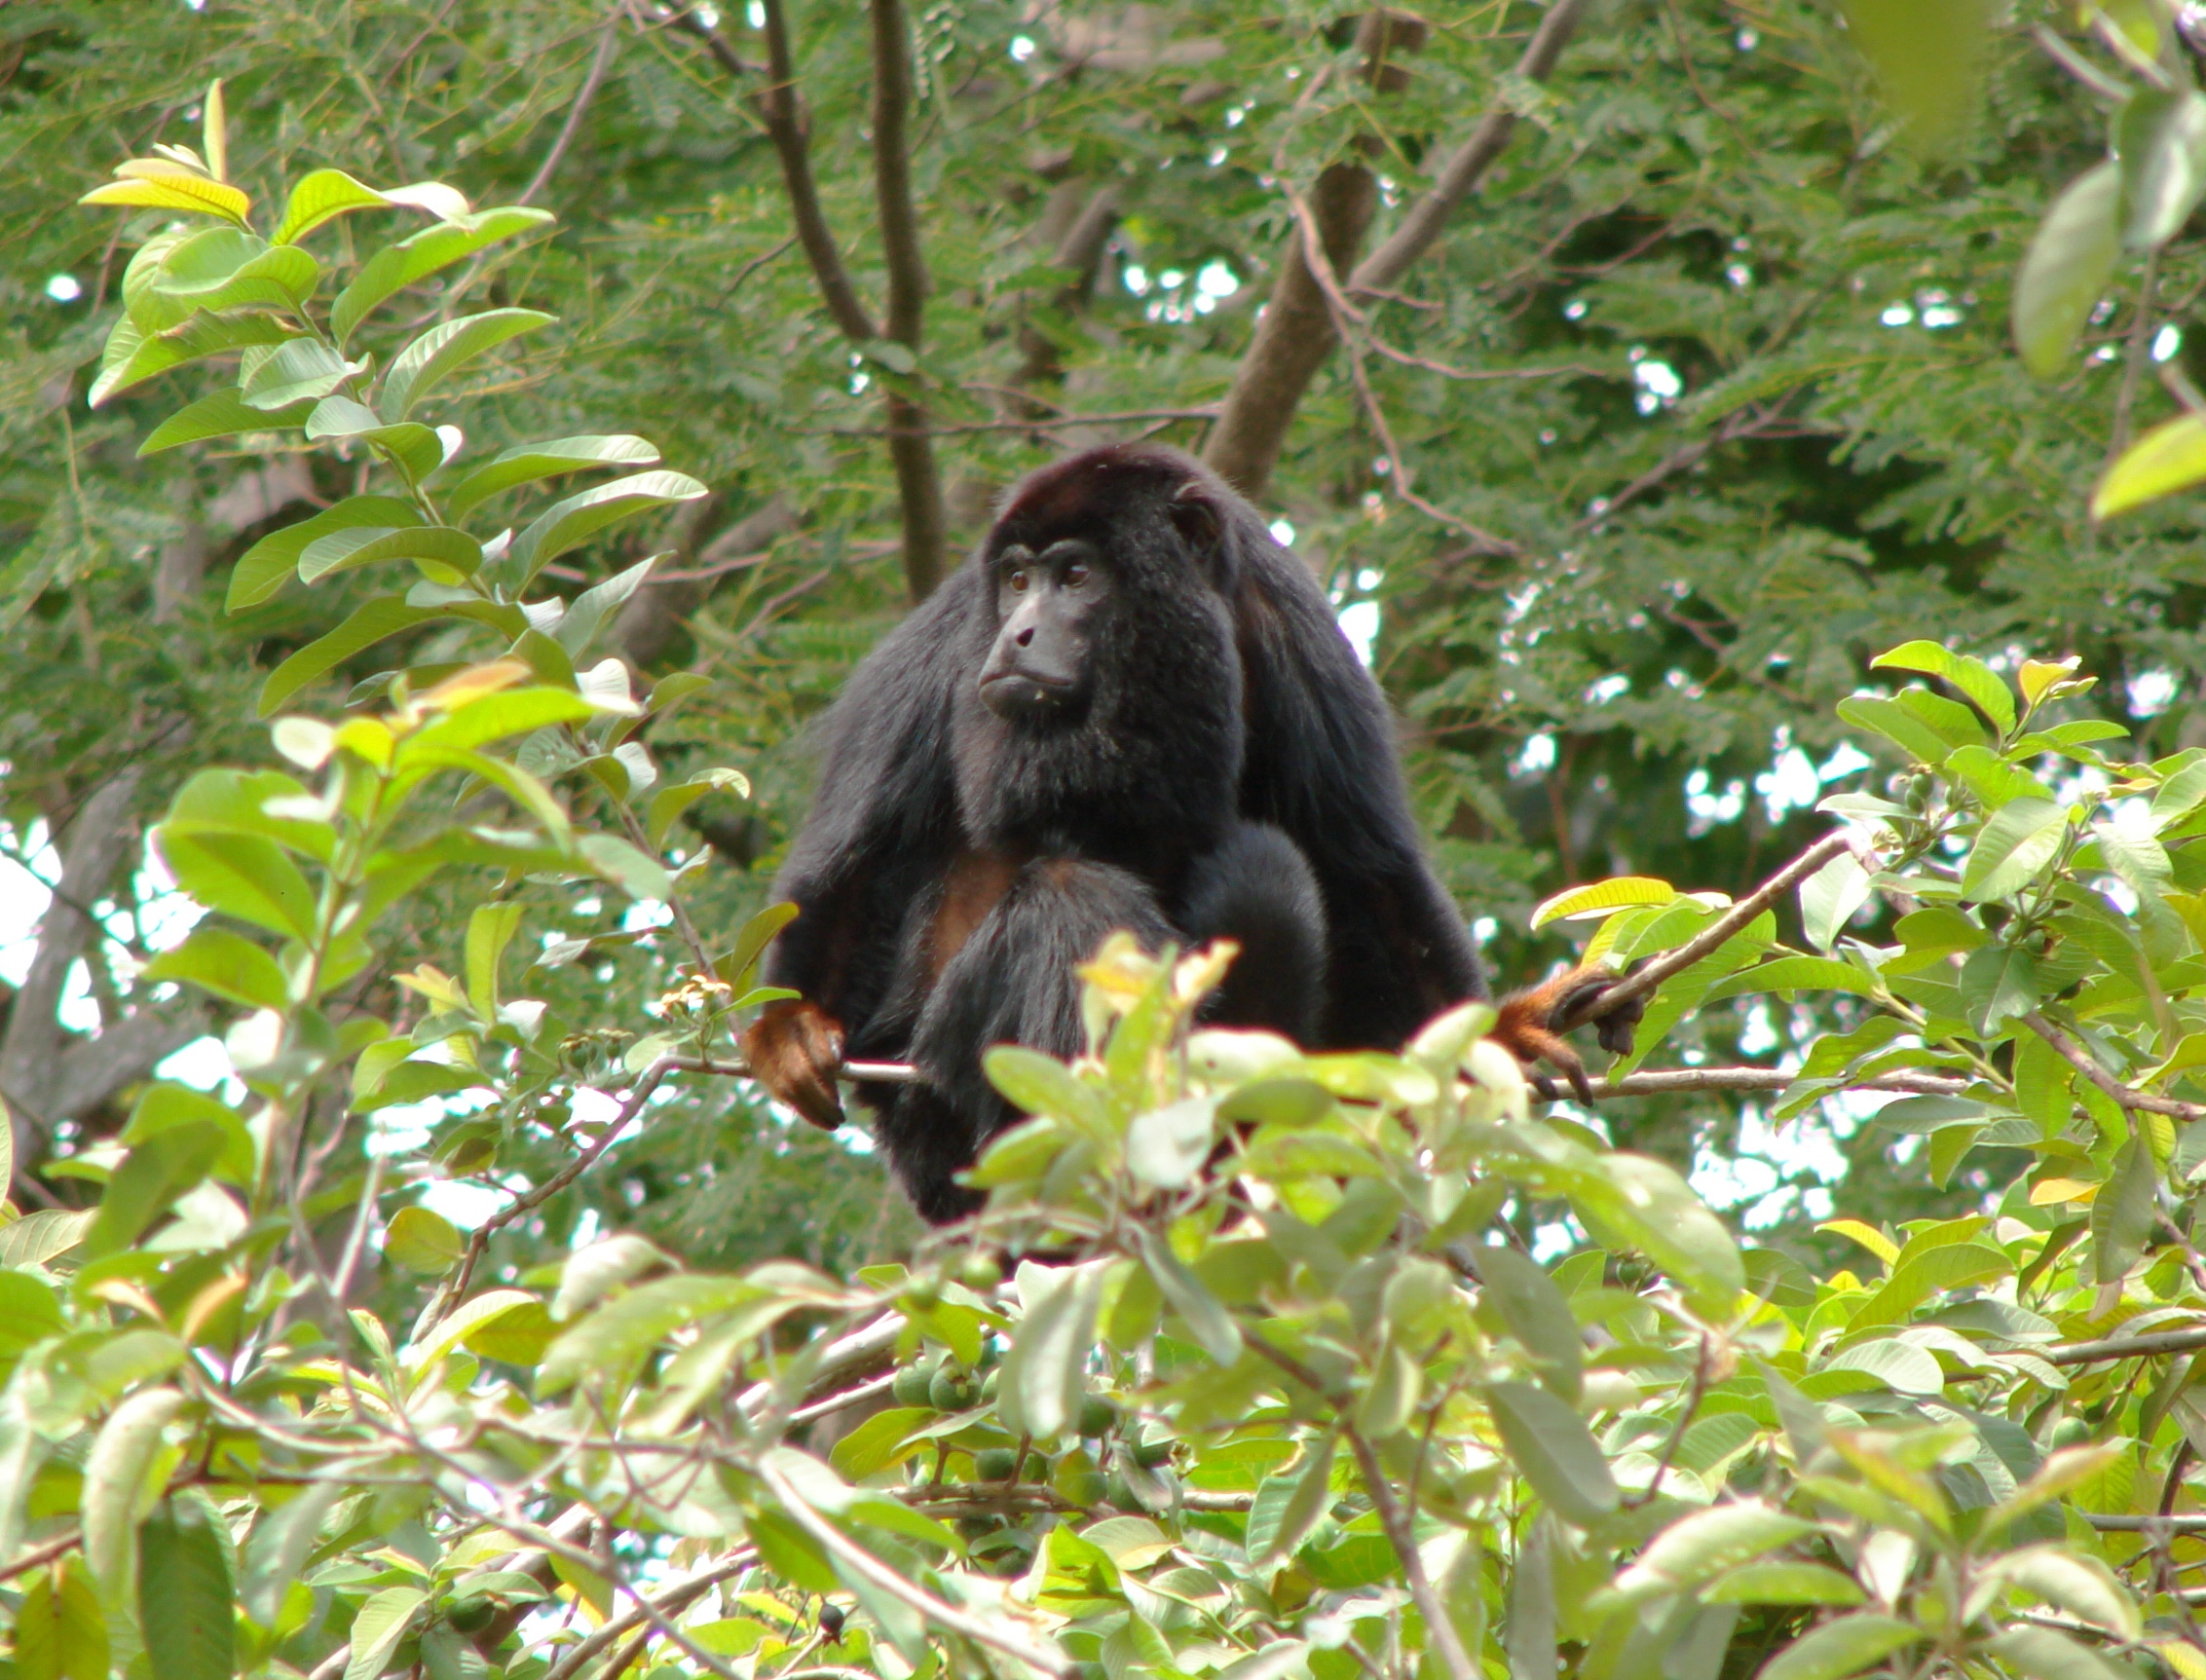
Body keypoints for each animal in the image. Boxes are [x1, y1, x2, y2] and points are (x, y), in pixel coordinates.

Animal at [750, 445, 1632, 1216]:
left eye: (1074, 575)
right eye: (1015, 580)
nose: (1017, 633)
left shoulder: (1290, 625)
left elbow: (1367, 873)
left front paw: (1504, 1036)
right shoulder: (950, 643)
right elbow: (857, 861)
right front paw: (789, 1025)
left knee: (1269, 870)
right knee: (1066, 899)